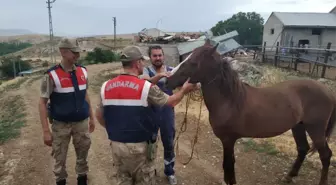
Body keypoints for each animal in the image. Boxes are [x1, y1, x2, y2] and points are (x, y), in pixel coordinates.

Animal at [165, 39, 336, 185]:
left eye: (193, 62)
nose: (167, 81)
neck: (230, 101)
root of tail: (328, 91)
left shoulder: (228, 139)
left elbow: (228, 164)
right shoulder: (228, 140)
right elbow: (228, 164)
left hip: (315, 128)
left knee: (325, 155)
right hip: (298, 126)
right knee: (303, 149)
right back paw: (289, 176)